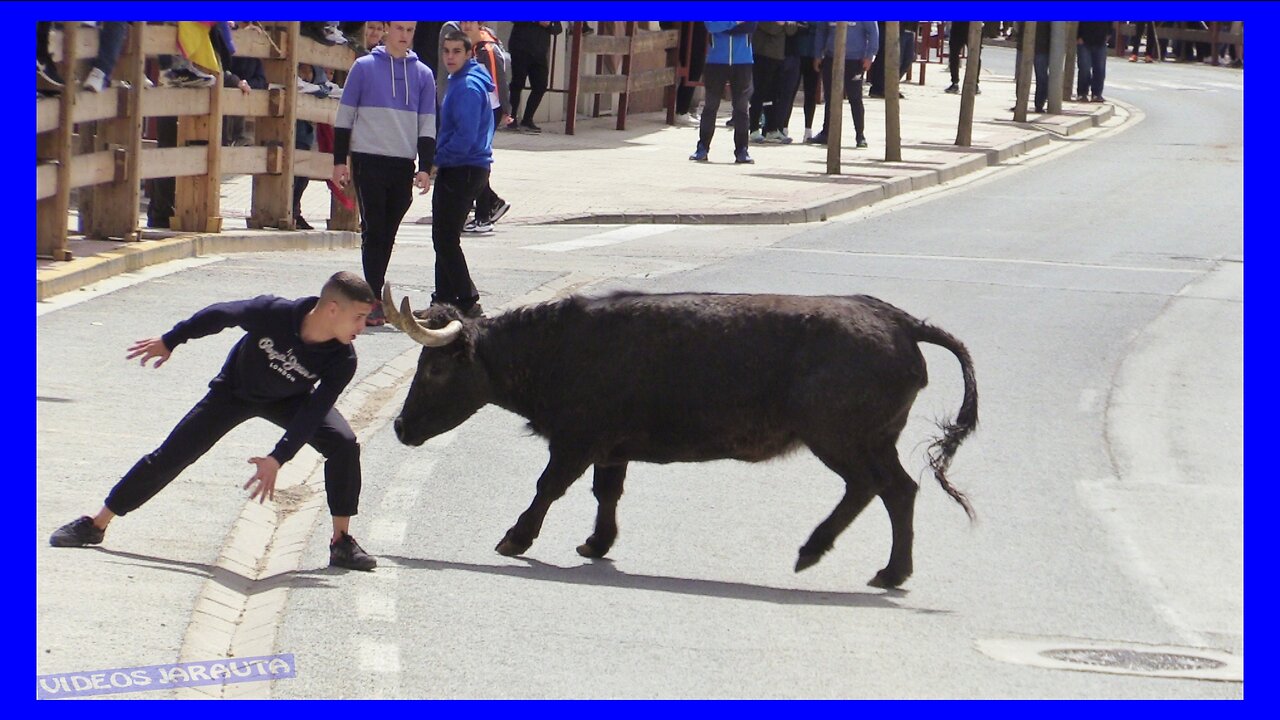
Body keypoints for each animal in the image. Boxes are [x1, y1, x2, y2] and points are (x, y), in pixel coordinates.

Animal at [384, 283, 972, 586]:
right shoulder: (610, 447)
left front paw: (516, 537)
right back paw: (863, 563)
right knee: (892, 490)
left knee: (880, 488)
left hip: (844, 438)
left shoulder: (577, 439)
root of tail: (898, 321)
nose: (401, 426)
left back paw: (848, 560)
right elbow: (606, 492)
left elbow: (548, 487)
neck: (562, 345)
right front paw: (598, 542)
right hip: (871, 440)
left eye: (434, 369)